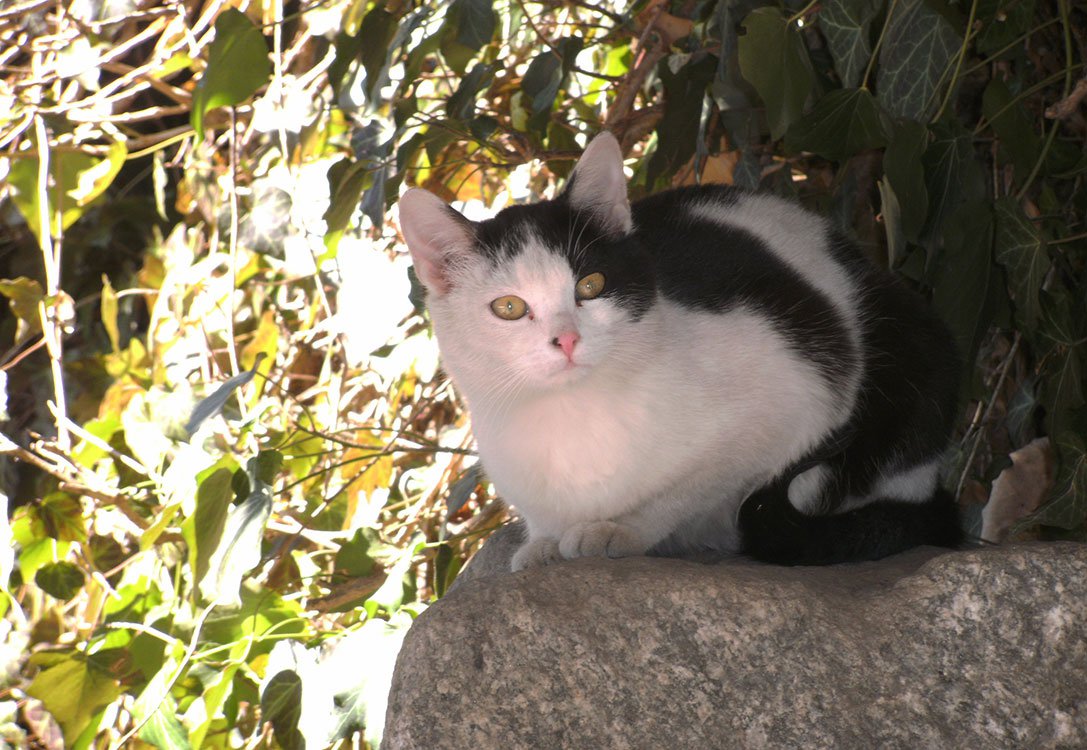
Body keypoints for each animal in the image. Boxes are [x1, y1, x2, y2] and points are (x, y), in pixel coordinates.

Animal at [397, 133, 960, 565]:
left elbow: (691, 486)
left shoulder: (789, 403)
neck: (571, 416)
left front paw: (620, 530)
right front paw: (543, 543)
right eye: (510, 307)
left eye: (591, 285)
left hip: (910, 355)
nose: (567, 338)